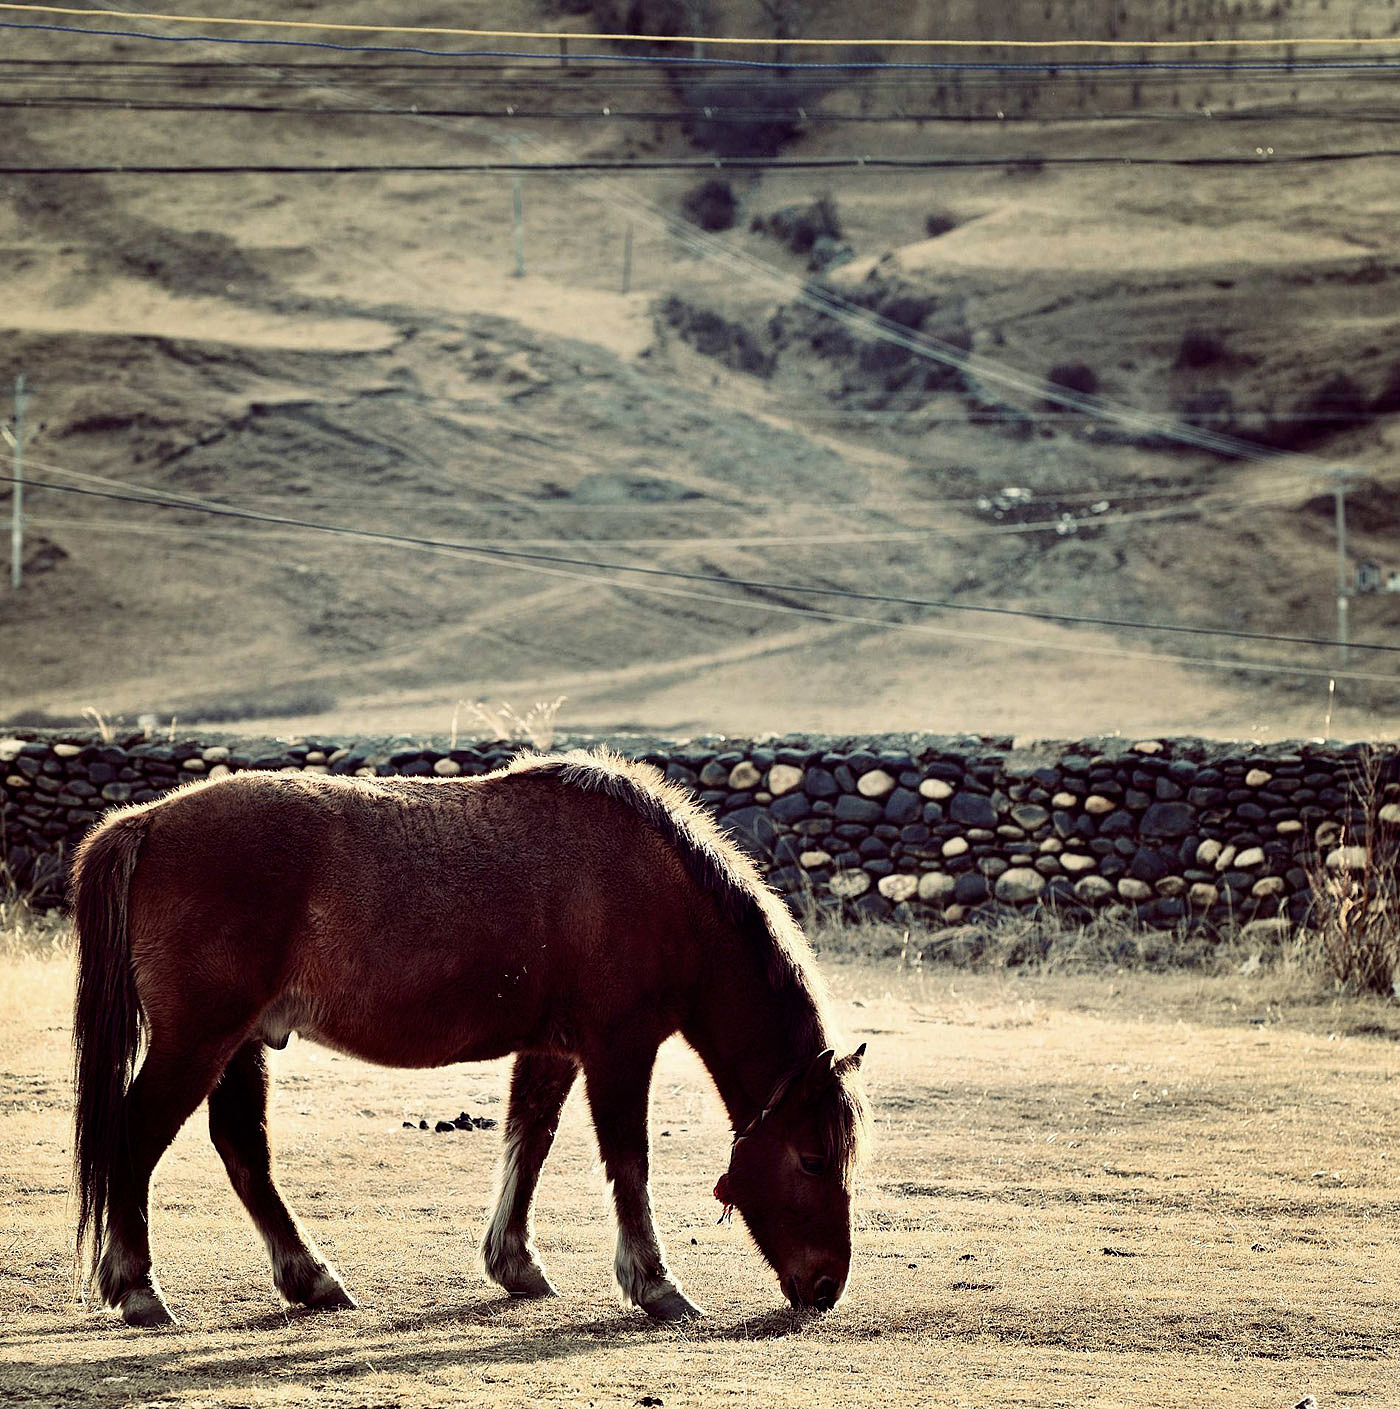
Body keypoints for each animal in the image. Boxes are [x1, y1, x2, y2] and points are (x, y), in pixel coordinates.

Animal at [76, 755, 867, 1324]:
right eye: (812, 1159)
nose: (828, 1286)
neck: (654, 885)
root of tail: (147, 822)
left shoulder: (553, 1049)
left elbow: (529, 1142)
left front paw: (515, 1264)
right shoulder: (620, 1047)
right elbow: (628, 1160)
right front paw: (654, 1284)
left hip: (236, 1044)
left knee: (243, 1150)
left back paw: (312, 1279)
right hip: (199, 1040)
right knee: (138, 1135)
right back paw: (138, 1288)